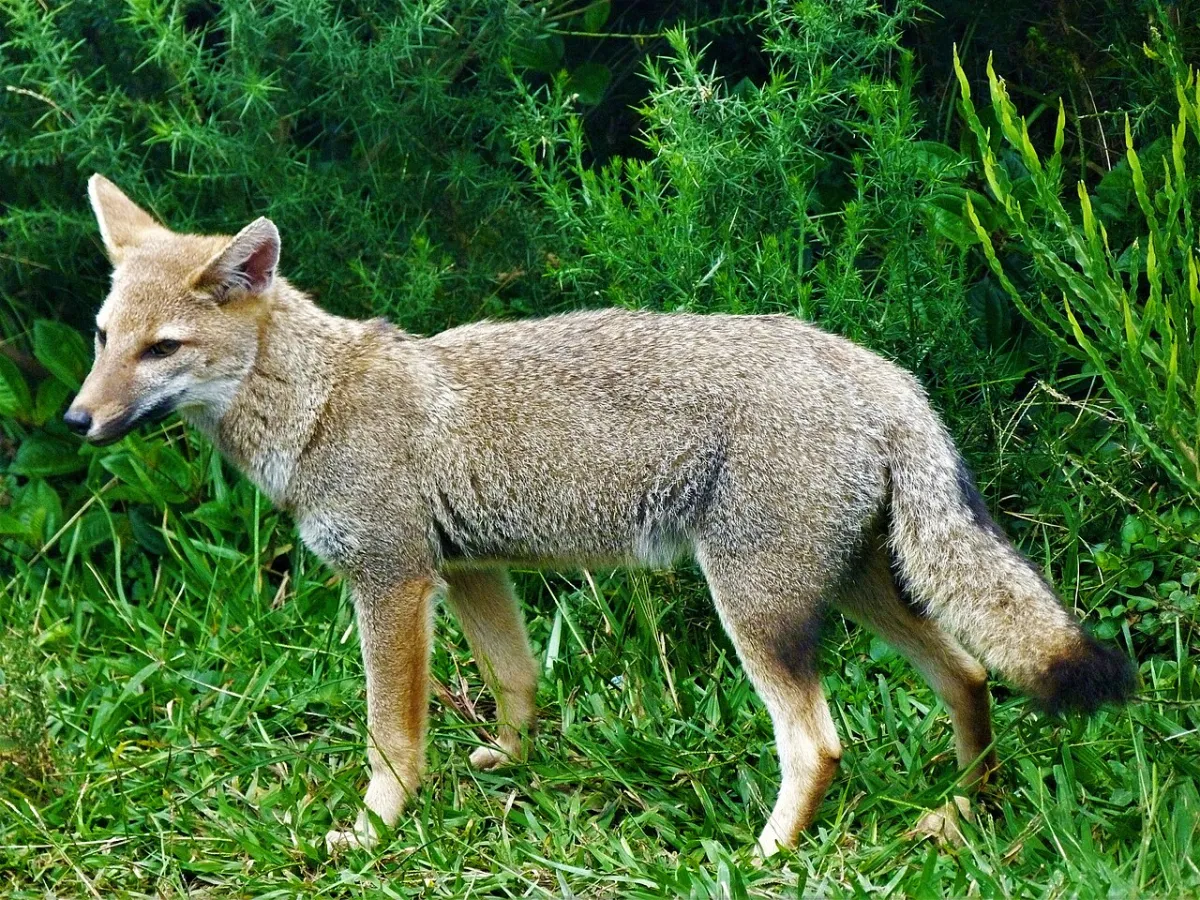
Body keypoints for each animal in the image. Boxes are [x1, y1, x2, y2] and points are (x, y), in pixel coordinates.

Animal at [65, 174, 1135, 857]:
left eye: (162, 349)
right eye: (104, 338)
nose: (77, 420)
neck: (323, 402)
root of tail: (881, 373)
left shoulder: (391, 581)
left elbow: (391, 737)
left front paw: (371, 833)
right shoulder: (468, 571)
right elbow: (517, 679)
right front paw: (509, 764)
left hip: (758, 613)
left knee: (820, 742)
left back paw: (768, 856)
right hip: (858, 592)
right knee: (969, 677)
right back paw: (961, 812)